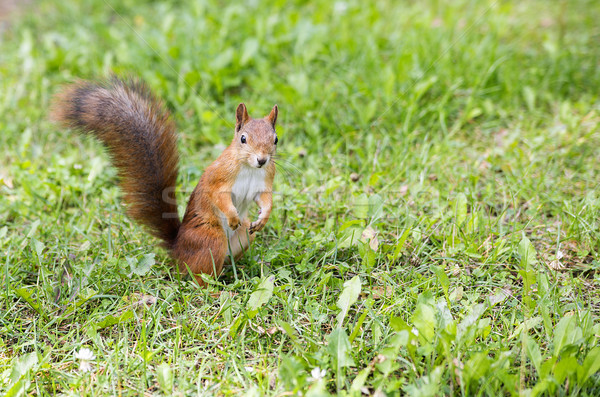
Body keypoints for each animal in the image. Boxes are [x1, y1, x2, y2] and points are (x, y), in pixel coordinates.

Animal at [51, 76, 276, 284]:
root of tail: (177, 248)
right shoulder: (218, 177)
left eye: (275, 139)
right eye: (243, 139)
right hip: (211, 239)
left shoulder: (265, 180)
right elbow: (218, 196)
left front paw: (263, 218)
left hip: (244, 236)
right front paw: (233, 216)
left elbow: (265, 199)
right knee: (198, 278)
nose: (262, 160)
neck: (250, 168)